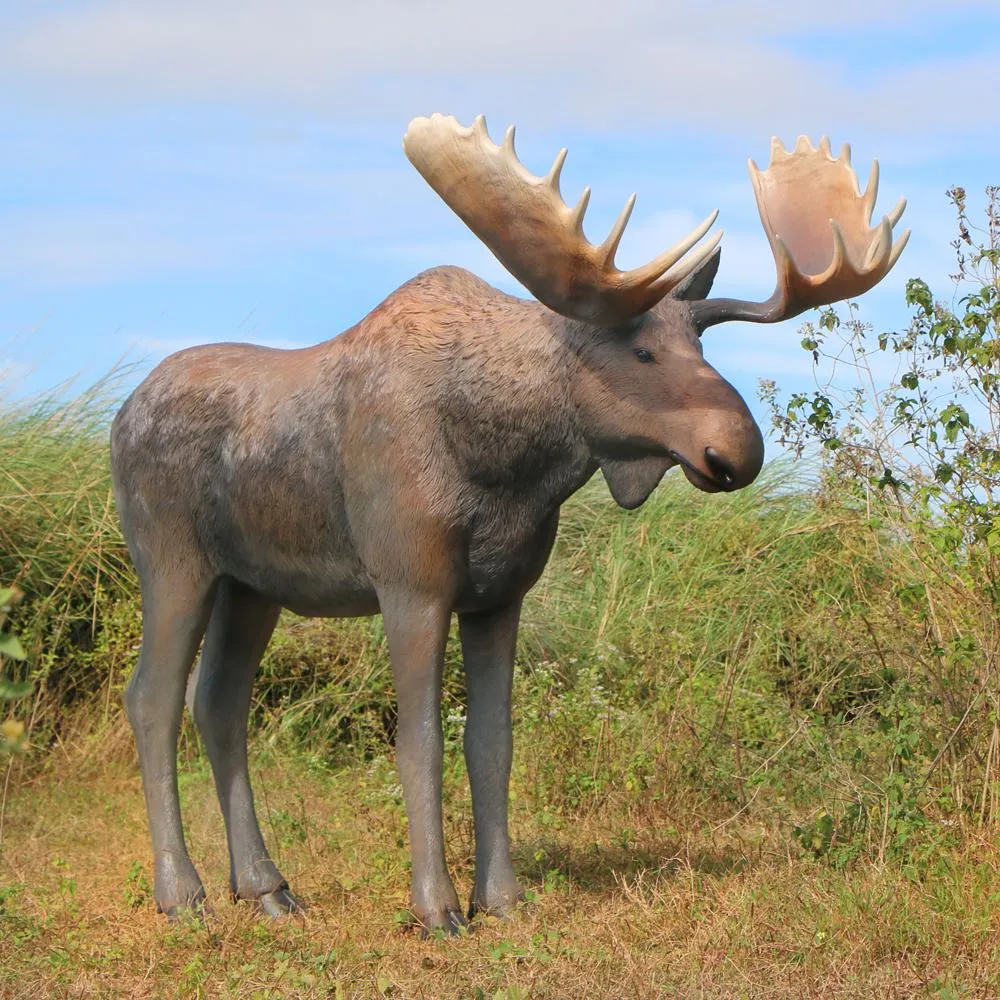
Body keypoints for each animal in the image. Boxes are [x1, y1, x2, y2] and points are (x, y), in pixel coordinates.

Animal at [109, 114, 908, 933]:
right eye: (640, 348)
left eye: (701, 344)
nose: (737, 450)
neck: (510, 465)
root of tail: (118, 418)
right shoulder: (412, 584)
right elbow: (420, 741)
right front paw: (436, 907)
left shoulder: (499, 596)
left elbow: (492, 741)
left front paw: (501, 899)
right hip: (174, 562)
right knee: (152, 698)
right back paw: (183, 893)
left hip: (252, 586)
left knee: (218, 704)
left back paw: (265, 886)